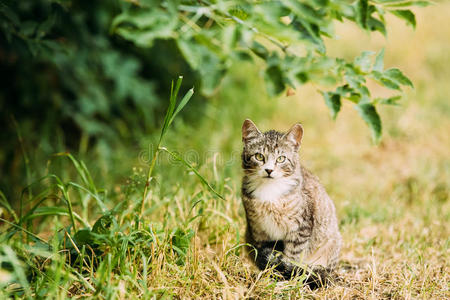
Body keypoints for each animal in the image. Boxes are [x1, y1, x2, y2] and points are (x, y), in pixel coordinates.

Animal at [243, 119, 342, 286]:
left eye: (281, 159)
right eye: (259, 156)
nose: (269, 170)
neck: (270, 191)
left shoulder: (300, 228)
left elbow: (291, 256)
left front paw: (288, 276)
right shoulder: (257, 231)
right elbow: (263, 256)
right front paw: (268, 275)